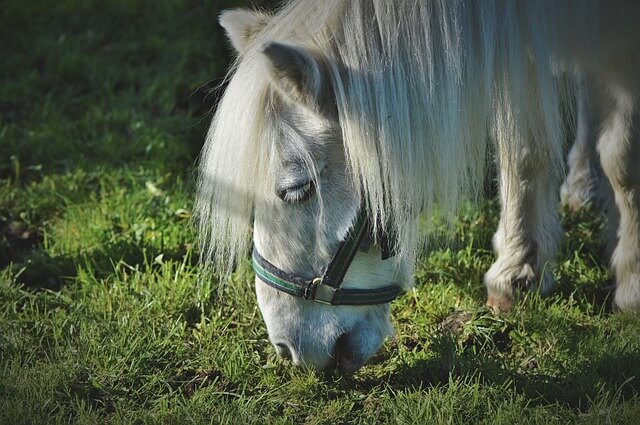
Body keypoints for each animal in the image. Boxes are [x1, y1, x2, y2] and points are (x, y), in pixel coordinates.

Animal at [196, 0, 640, 372]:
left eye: (296, 189)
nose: (287, 349)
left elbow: (623, 162)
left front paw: (632, 284)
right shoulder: (523, 38)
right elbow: (523, 149)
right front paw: (519, 268)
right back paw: (582, 182)